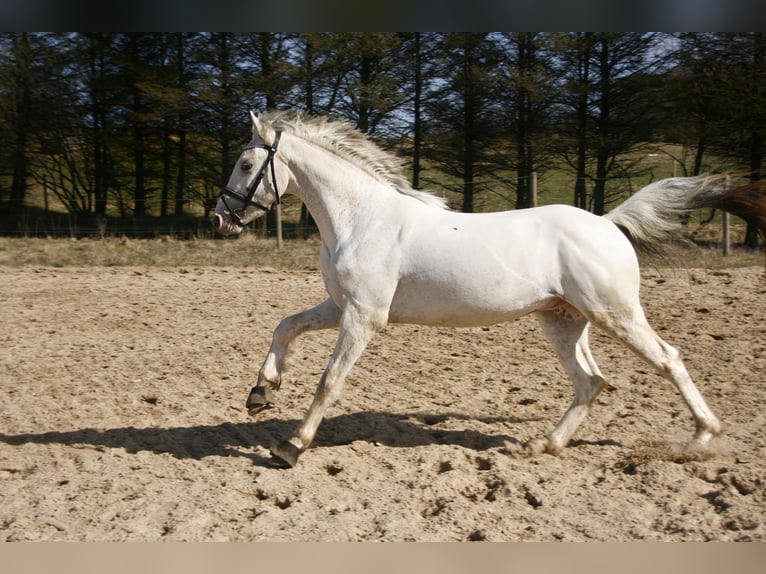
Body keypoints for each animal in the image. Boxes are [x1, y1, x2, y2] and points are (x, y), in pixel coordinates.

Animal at [213, 110, 766, 467]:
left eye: (246, 165)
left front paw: (291, 447)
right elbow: (285, 325)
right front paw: (260, 393)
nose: (221, 219)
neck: (360, 218)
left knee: (668, 359)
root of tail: (608, 223)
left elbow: (330, 381)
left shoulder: (364, 316)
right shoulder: (340, 305)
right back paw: (543, 447)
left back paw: (702, 439)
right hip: (563, 319)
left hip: (616, 313)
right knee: (591, 382)